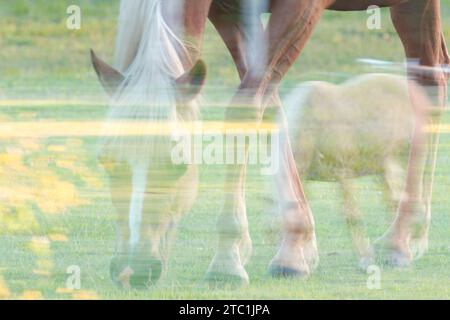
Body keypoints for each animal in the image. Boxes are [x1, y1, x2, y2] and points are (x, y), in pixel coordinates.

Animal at [90, 0, 446, 288]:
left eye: (177, 166)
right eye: (105, 160)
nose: (132, 269)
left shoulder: (300, 9)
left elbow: (246, 107)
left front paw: (227, 261)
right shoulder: (230, 13)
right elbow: (270, 104)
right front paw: (297, 245)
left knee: (429, 84)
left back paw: (400, 239)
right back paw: (418, 232)